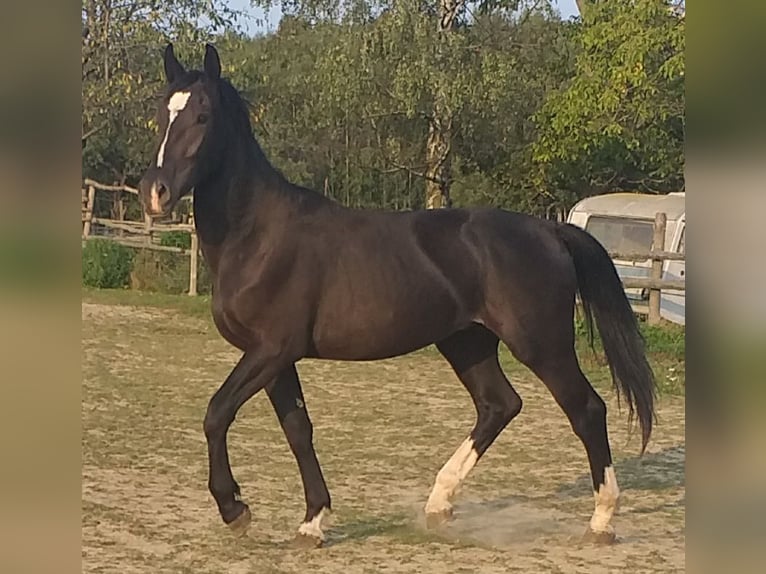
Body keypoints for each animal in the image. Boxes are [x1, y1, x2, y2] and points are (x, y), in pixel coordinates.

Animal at [136, 44, 656, 548]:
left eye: (203, 115)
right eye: (162, 114)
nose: (154, 193)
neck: (258, 235)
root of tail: (549, 230)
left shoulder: (271, 350)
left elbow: (216, 413)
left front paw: (235, 510)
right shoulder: (275, 358)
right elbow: (298, 430)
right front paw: (312, 521)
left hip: (542, 346)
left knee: (586, 410)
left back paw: (601, 521)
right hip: (466, 342)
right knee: (499, 404)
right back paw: (439, 503)